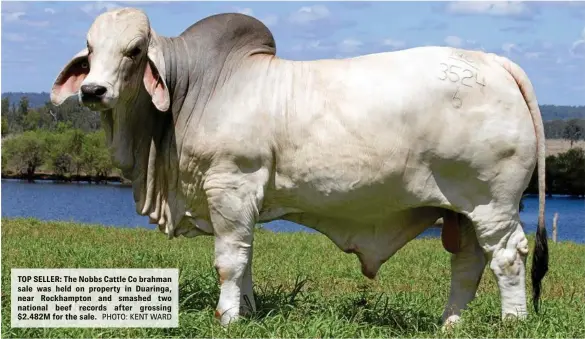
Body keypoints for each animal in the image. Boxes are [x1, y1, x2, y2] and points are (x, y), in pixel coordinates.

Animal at [51, 8, 548, 330]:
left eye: (134, 50)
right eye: (91, 50)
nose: (93, 90)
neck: (194, 88)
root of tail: (495, 62)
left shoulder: (231, 186)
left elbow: (229, 261)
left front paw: (227, 318)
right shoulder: (238, 204)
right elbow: (246, 259)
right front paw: (248, 311)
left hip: (493, 203)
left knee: (507, 257)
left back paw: (512, 323)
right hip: (462, 211)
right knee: (467, 264)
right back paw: (450, 324)